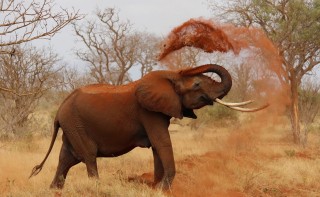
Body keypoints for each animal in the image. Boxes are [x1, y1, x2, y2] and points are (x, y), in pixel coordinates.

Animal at [29, 64, 264, 189]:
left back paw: (54, 190)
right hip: (76, 124)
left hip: (72, 125)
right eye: (197, 84)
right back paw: (96, 187)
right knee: (87, 155)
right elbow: (161, 143)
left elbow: (157, 146)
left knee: (67, 158)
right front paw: (162, 188)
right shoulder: (148, 112)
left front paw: (156, 187)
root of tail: (59, 110)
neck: (170, 76)